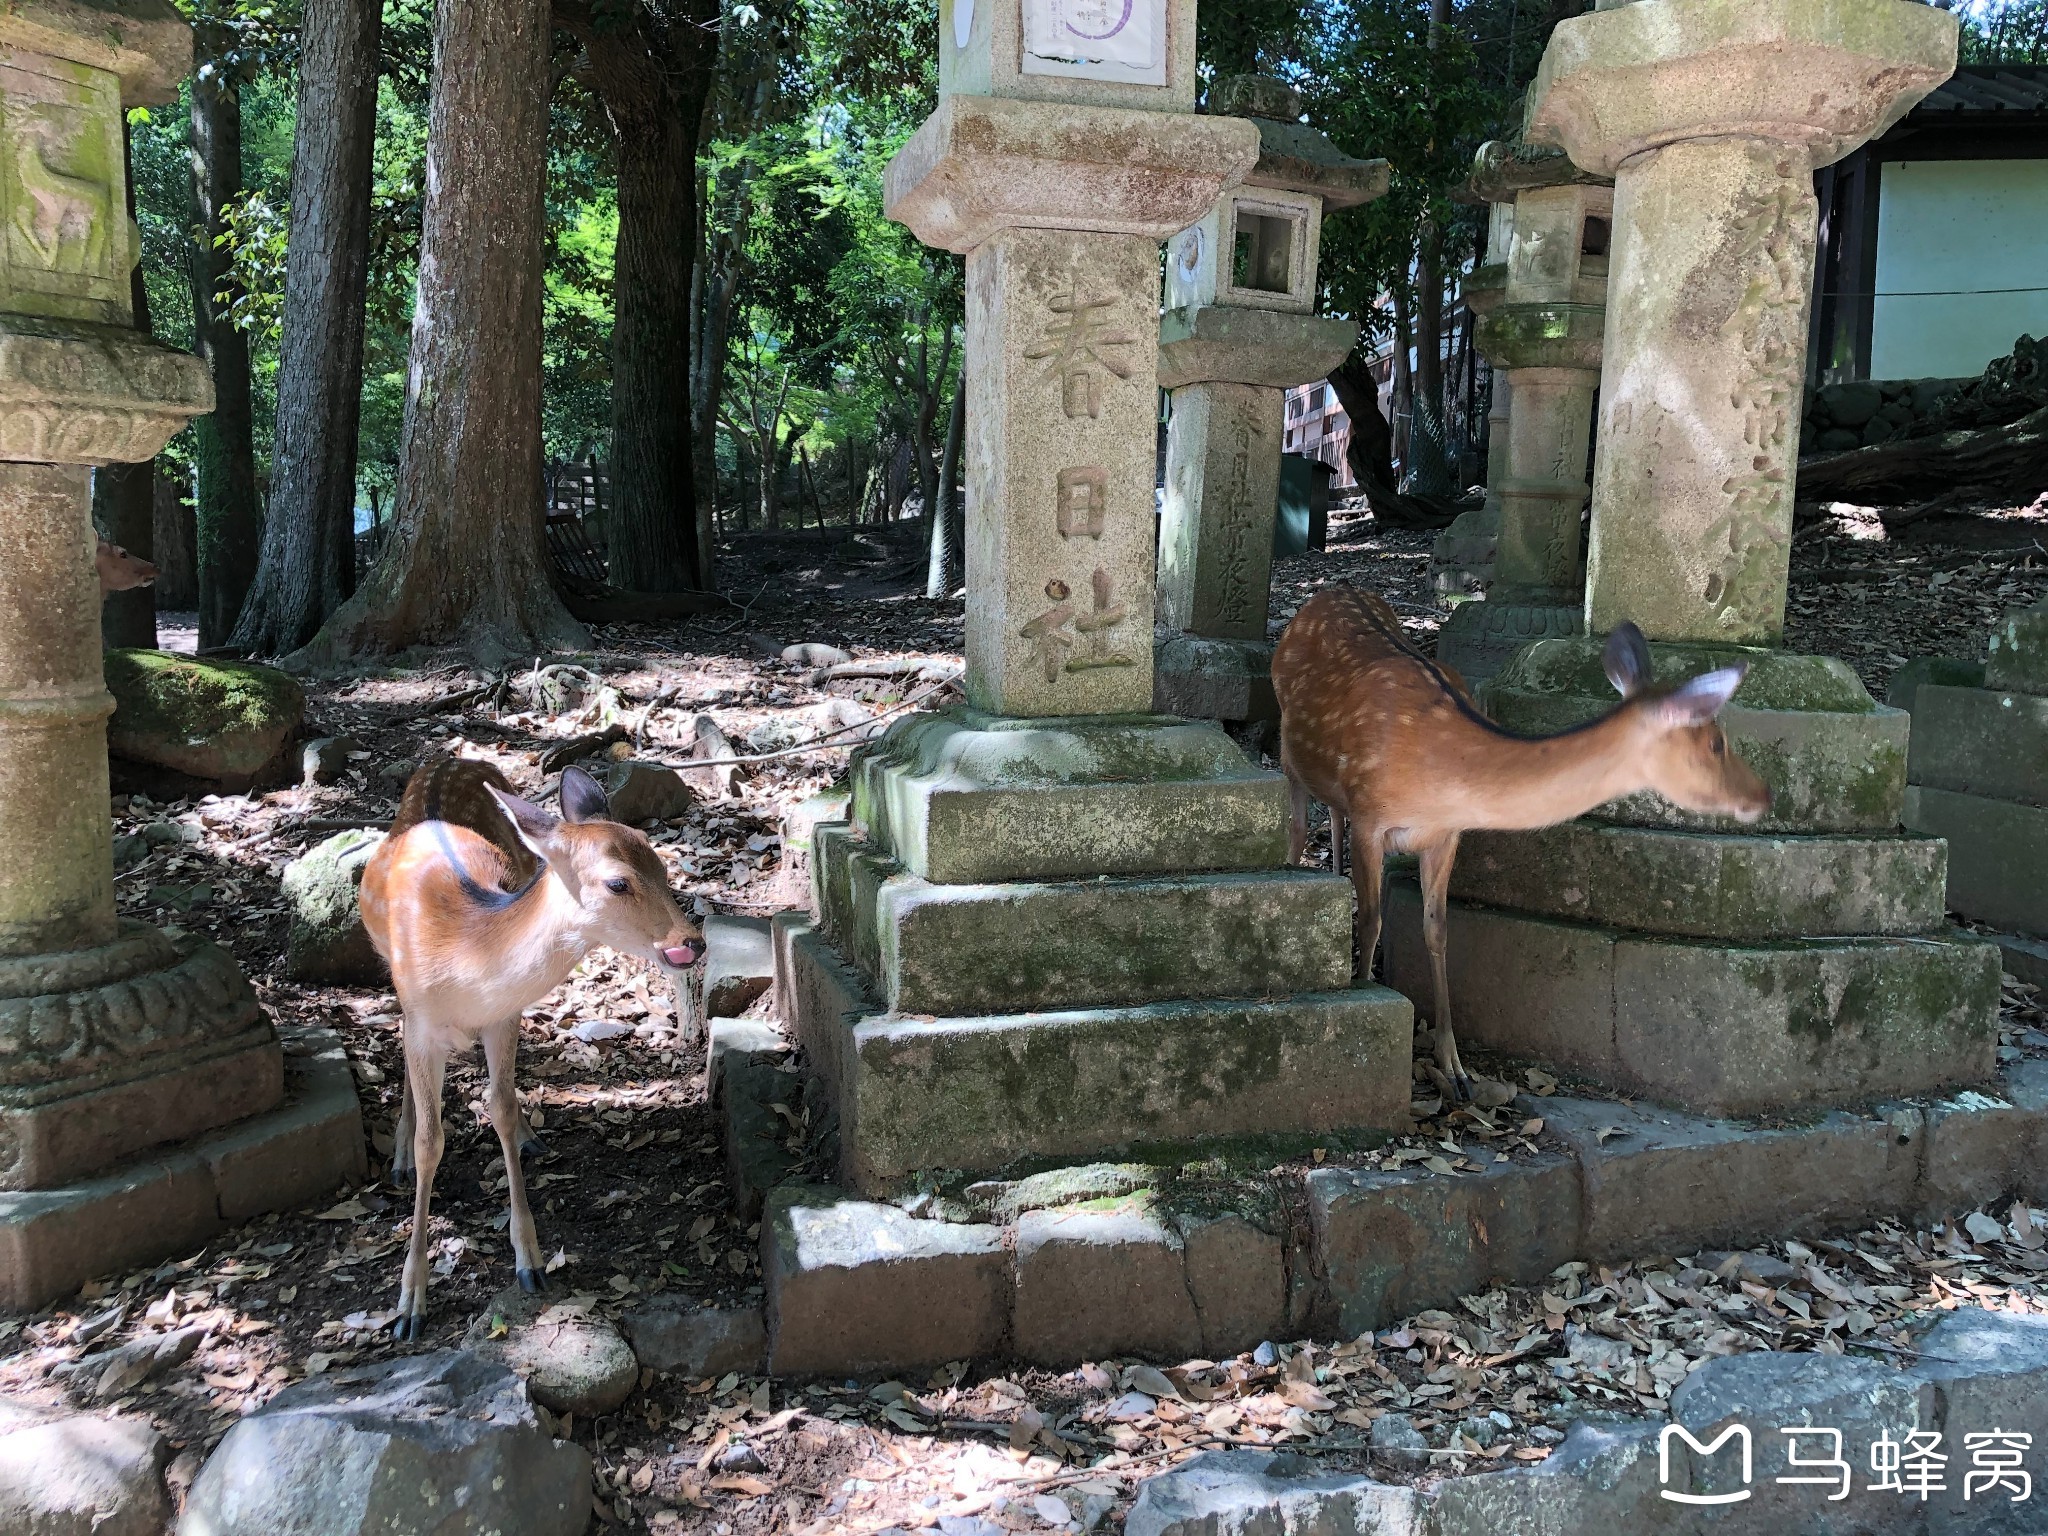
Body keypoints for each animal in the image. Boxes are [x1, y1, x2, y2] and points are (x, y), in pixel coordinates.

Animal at [356, 765, 700, 1343]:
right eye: (618, 882)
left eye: (660, 862)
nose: (692, 941)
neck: (466, 960)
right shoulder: (422, 1022)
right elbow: (431, 1141)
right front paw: (409, 1306)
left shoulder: (504, 1016)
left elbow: (500, 1107)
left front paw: (531, 1262)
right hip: (388, 969)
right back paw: (399, 1153)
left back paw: (527, 1136)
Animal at [1269, 589, 1769, 1105]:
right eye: (1716, 743)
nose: (1763, 795)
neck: (1436, 777)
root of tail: (1329, 593)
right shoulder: (1371, 817)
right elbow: (1371, 920)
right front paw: (1366, 985)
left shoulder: (1445, 836)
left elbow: (1437, 929)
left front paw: (1456, 1070)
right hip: (1288, 746)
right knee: (1298, 827)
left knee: (1333, 816)